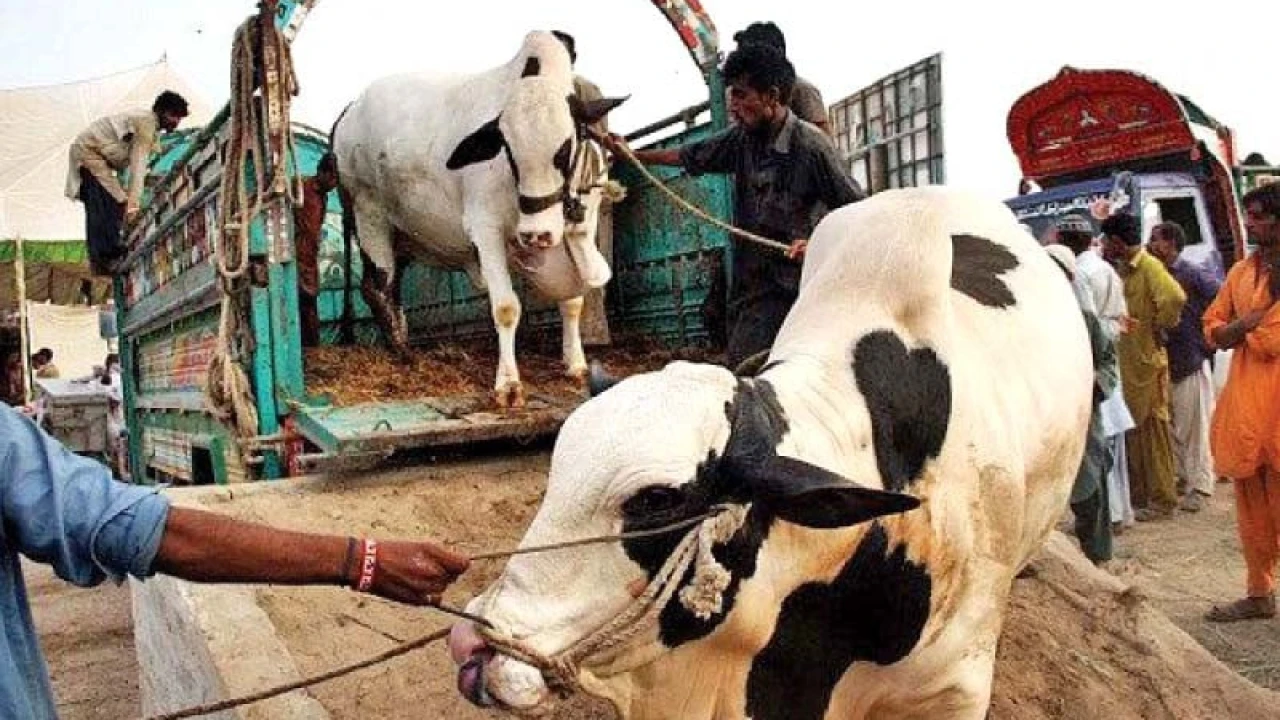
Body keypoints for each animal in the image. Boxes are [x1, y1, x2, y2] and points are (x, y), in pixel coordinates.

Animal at [332, 30, 627, 407]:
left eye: (565, 148)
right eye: (508, 149)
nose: (537, 234)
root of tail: (349, 110)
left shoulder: (576, 232)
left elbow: (573, 302)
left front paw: (575, 363)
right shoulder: (485, 228)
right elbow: (506, 308)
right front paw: (509, 384)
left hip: (399, 236)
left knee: (392, 290)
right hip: (368, 215)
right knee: (376, 287)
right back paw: (402, 353)